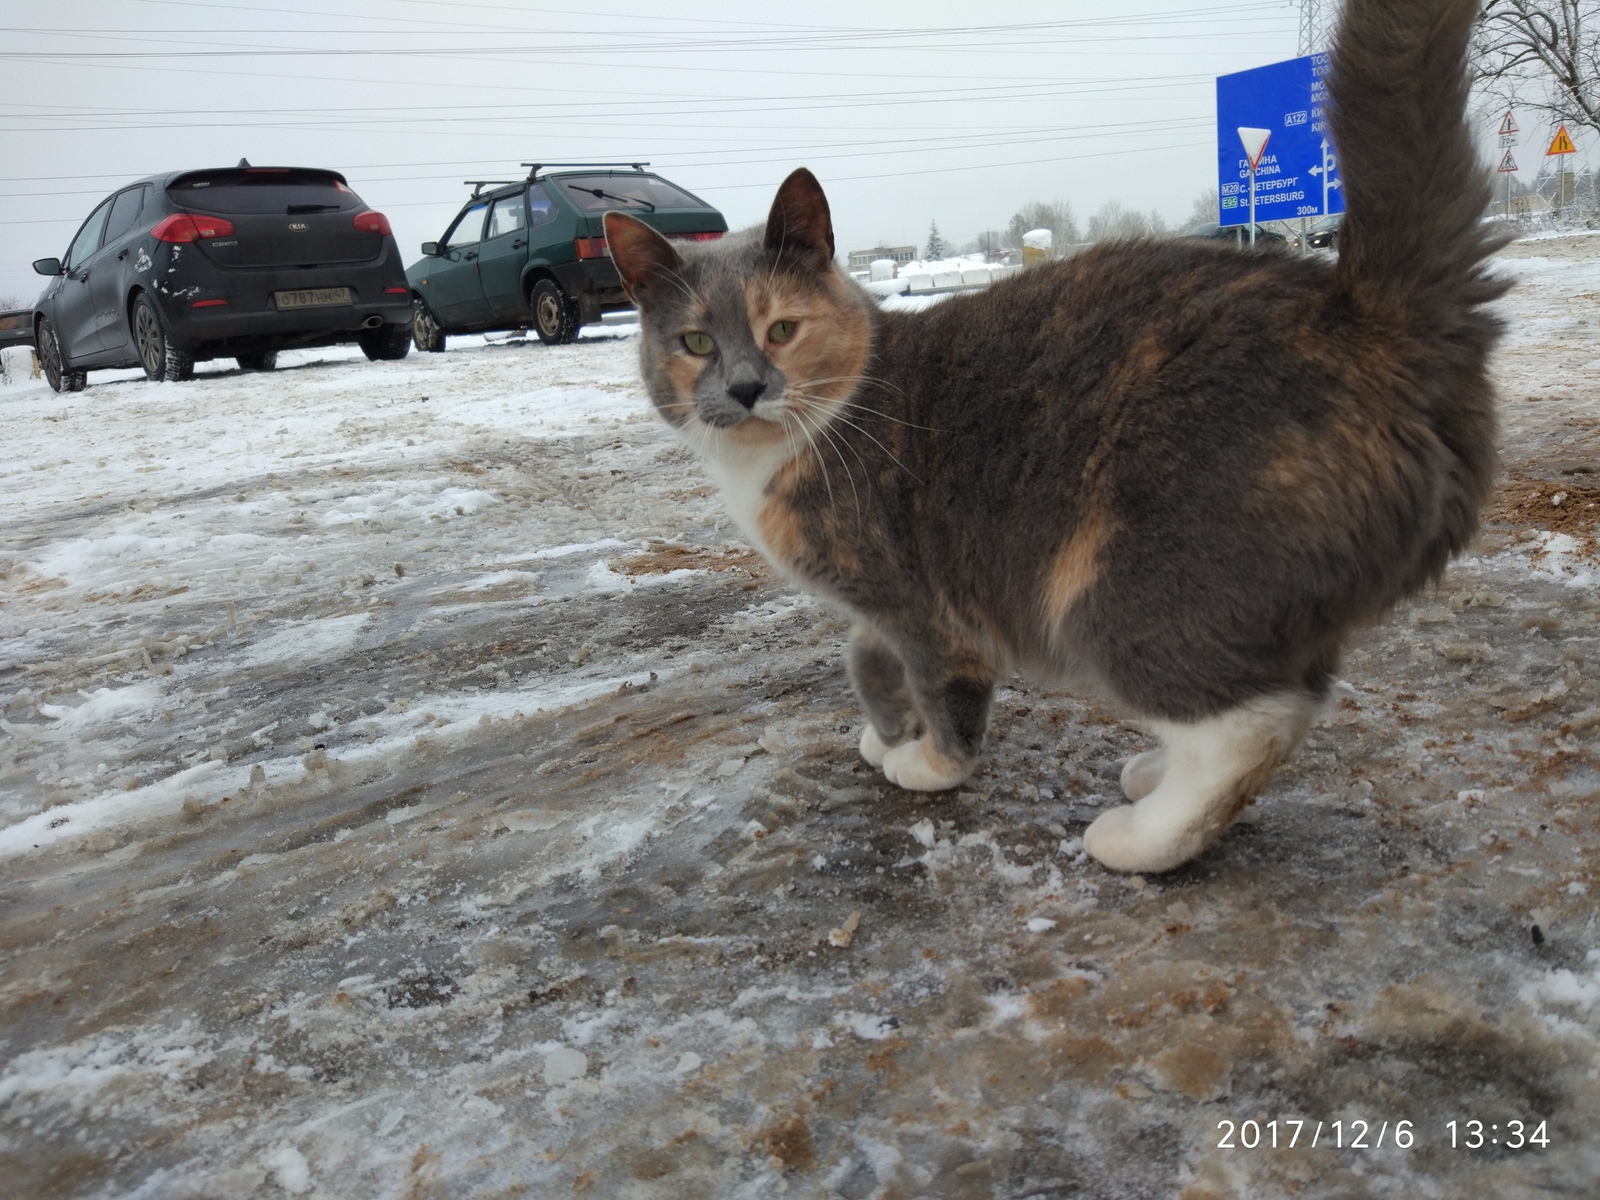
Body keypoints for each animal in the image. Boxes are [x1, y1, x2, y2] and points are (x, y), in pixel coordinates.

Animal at [604, 0, 1504, 876]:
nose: (745, 387)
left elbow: (945, 683)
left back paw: (1144, 834)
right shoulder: (878, 605)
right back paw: (1155, 776)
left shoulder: (924, 602)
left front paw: (928, 761)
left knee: (1253, 723)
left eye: (782, 329)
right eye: (695, 342)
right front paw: (887, 729)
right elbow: (863, 657)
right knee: (1287, 689)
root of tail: (1363, 321)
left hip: (1126, 587)